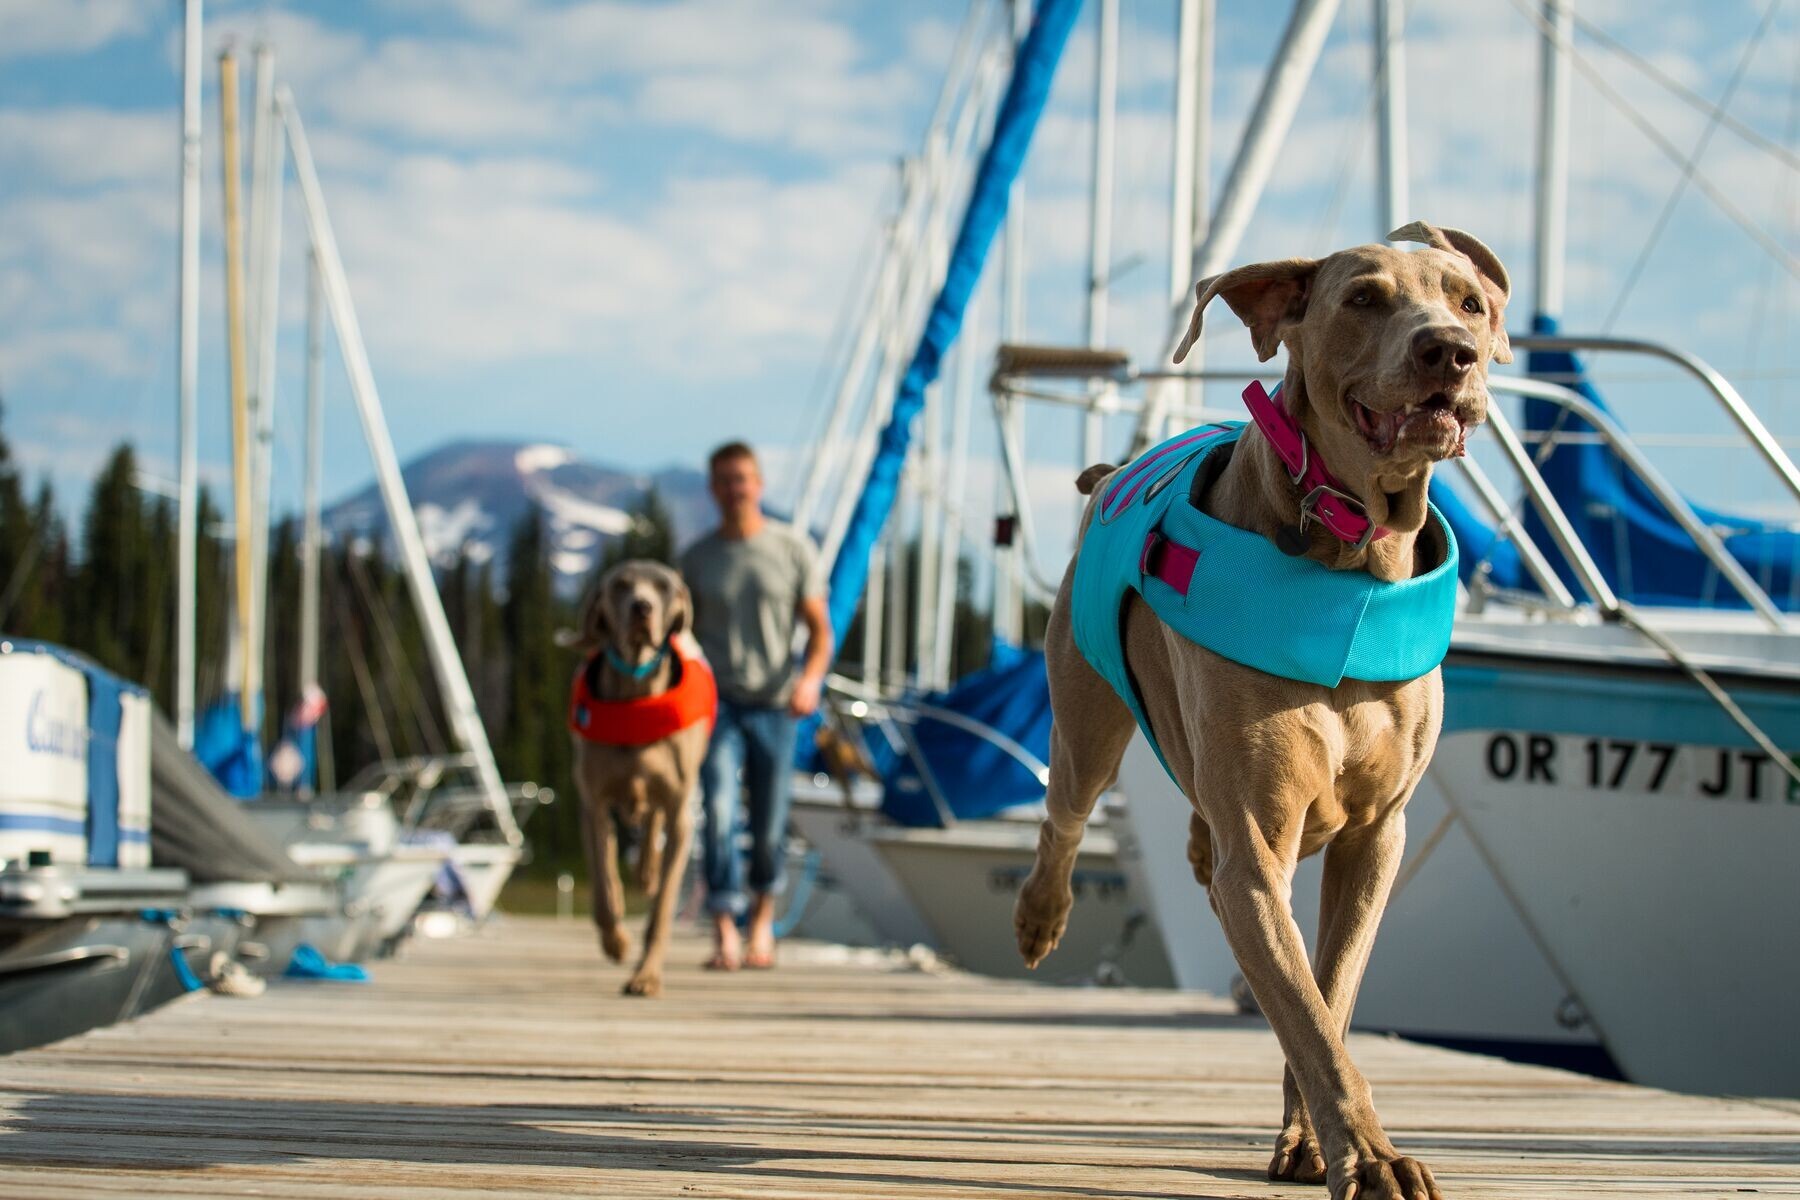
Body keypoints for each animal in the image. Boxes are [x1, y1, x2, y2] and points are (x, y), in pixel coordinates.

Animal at [565, 557, 712, 1000]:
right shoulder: (592, 804)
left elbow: (662, 907)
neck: (636, 692)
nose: (642, 608)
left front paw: (646, 976)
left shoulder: (682, 814)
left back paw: (647, 872)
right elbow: (603, 887)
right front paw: (616, 942)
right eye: (621, 585)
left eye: (663, 586)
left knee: (652, 826)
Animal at [1022, 224, 1512, 1200]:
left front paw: (1316, 1142)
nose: (1451, 351)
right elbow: (1307, 1013)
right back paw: (1040, 915)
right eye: (1362, 299)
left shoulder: (1377, 840)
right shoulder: (1257, 852)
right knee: (1066, 812)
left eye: (1469, 301)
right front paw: (1370, 1157)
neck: (1353, 554)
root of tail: (1111, 473)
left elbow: (1327, 997)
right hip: (1085, 716)